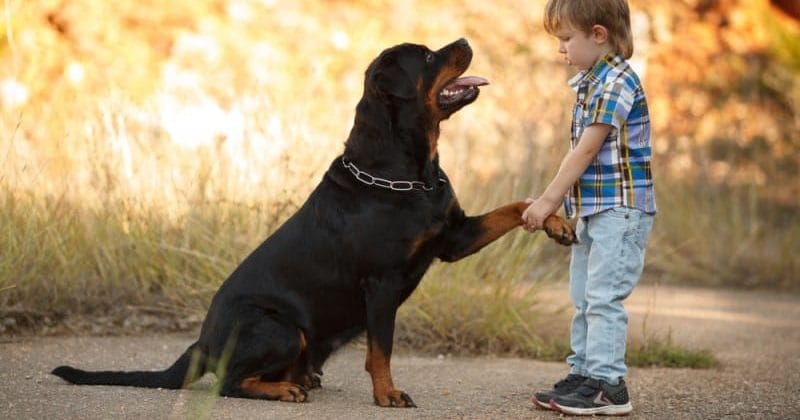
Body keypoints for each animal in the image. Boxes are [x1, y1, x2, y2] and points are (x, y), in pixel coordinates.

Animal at [51, 38, 576, 406]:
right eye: (428, 57)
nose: (465, 39)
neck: (411, 174)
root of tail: (202, 341)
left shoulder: (453, 237)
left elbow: (515, 206)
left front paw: (555, 222)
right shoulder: (382, 283)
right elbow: (381, 349)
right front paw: (387, 395)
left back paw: (301, 379)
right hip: (281, 329)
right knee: (230, 381)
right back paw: (285, 389)